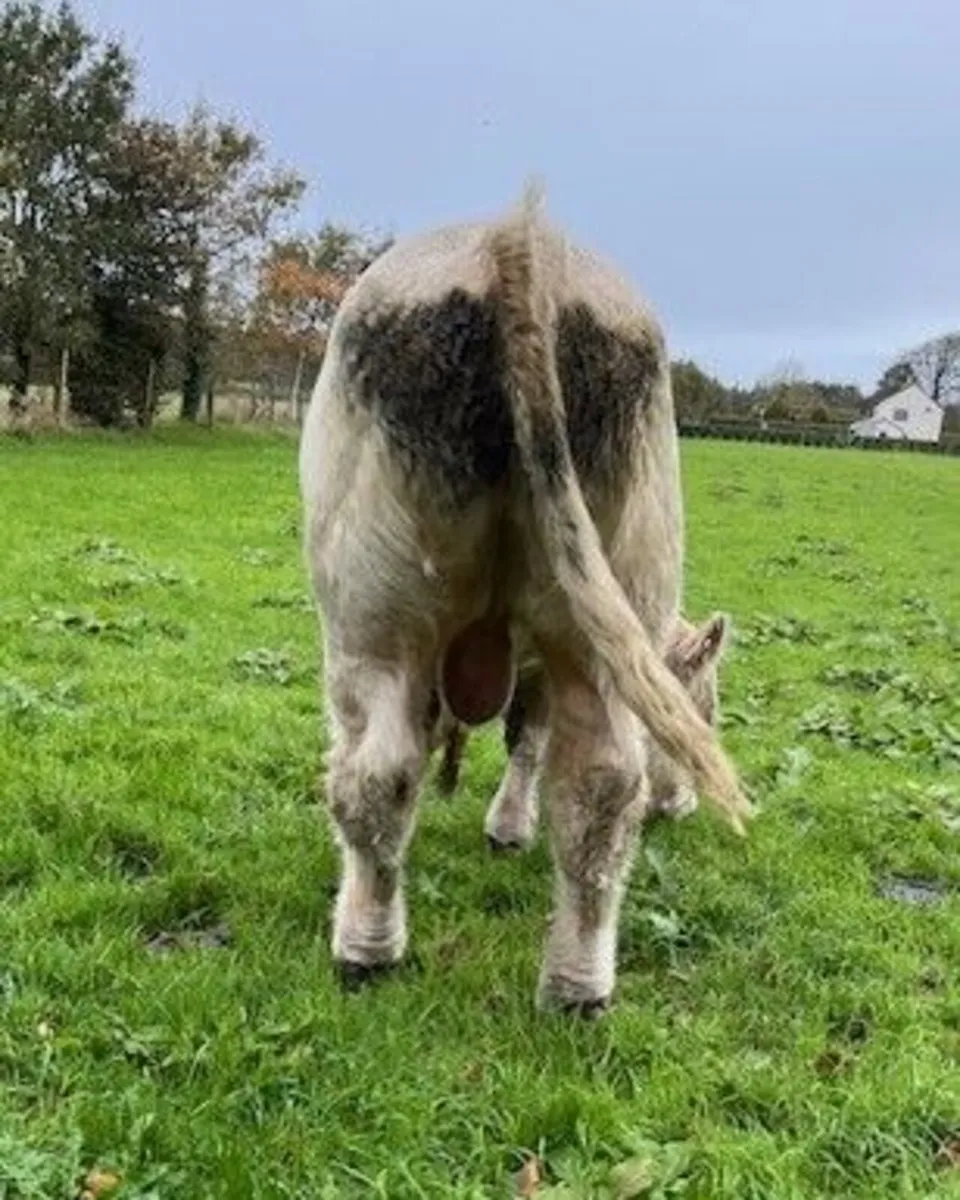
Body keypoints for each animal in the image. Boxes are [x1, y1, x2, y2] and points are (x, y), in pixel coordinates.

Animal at [299, 184, 751, 1014]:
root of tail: (516, 236)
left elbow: (518, 740)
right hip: (613, 594)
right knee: (604, 784)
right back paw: (577, 986)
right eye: (706, 708)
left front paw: (505, 828)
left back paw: (365, 948)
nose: (682, 807)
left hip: (370, 614)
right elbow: (532, 742)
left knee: (376, 772)